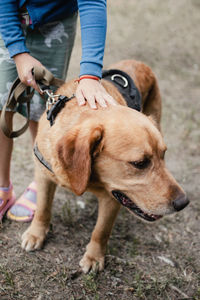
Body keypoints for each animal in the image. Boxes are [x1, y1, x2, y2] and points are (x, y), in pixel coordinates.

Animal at [21, 59, 188, 274]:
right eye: (140, 163)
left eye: (163, 154)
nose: (184, 203)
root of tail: (138, 62)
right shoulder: (44, 177)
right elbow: (42, 208)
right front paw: (36, 233)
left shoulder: (113, 198)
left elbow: (101, 231)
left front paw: (94, 257)